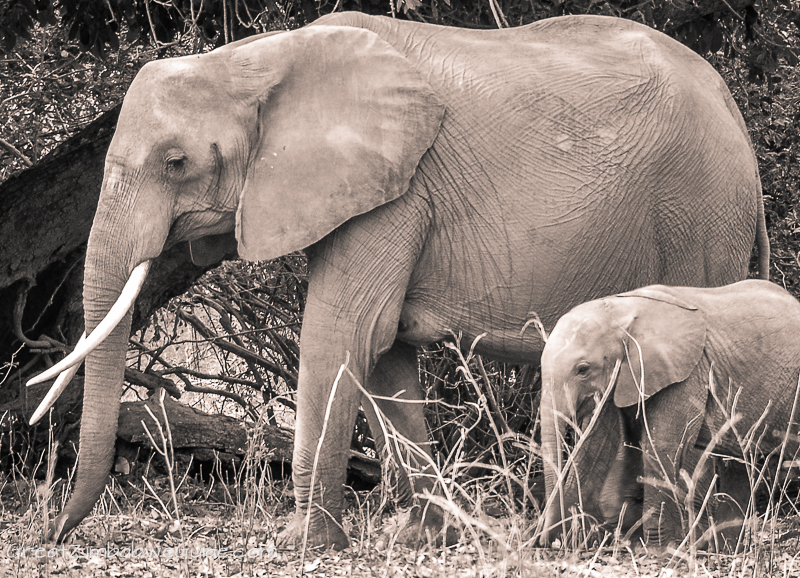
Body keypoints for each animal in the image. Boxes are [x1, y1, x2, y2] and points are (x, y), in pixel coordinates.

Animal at [29, 12, 768, 544]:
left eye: (176, 162)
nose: (54, 531)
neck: (259, 58)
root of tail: (732, 103)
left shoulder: (398, 193)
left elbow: (345, 332)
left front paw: (299, 544)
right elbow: (384, 354)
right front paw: (421, 539)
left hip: (701, 215)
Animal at [536, 280, 800, 548]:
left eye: (583, 369)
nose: (543, 540)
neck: (620, 311)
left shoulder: (686, 374)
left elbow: (662, 446)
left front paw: (659, 550)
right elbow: (597, 447)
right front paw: (569, 539)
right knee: (736, 463)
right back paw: (726, 548)